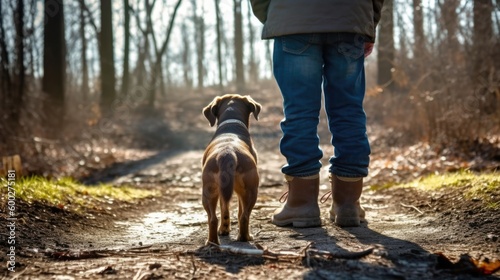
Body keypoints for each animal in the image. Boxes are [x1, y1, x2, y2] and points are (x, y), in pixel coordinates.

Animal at [201, 94, 262, 245]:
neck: (231, 125)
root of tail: (228, 153)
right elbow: (238, 212)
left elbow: (224, 209)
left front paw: (224, 230)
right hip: (251, 191)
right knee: (244, 216)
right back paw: (245, 237)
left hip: (209, 191)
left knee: (213, 219)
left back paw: (212, 242)